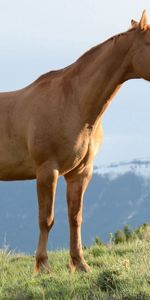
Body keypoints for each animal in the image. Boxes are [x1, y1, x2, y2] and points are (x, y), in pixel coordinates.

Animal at [0, 10, 150, 270]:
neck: (73, 103)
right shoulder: (47, 171)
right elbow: (46, 219)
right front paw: (42, 267)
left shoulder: (80, 173)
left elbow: (75, 217)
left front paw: (80, 264)